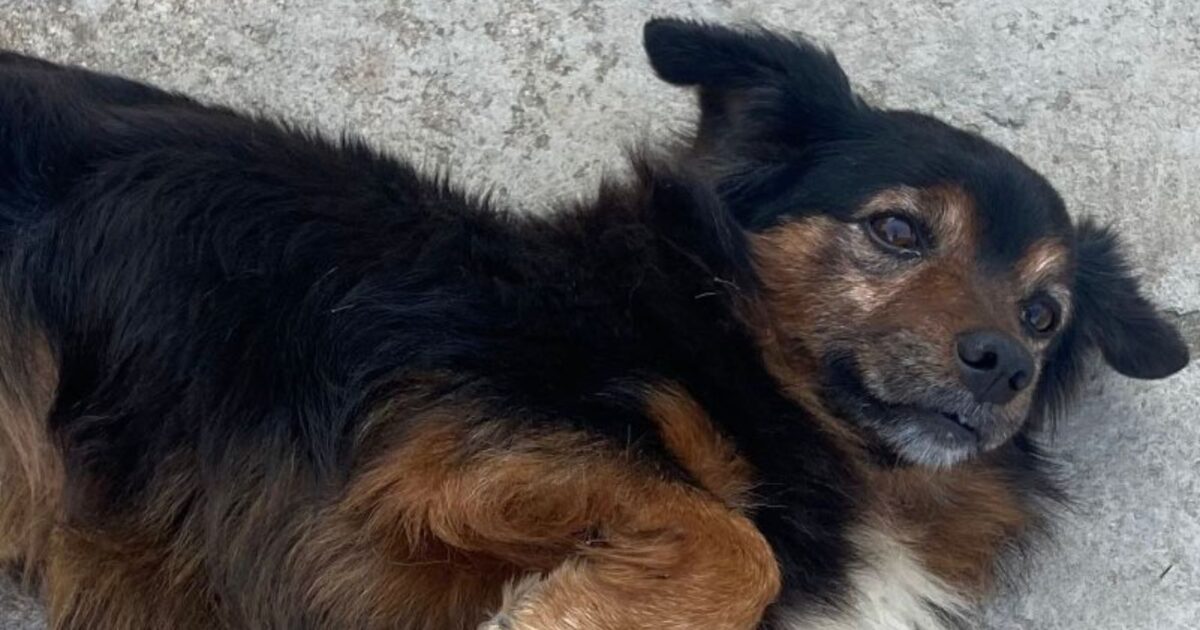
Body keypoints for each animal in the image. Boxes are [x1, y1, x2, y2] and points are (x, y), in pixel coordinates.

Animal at [0, 17, 1185, 624]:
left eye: (1044, 312)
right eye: (897, 230)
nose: (1002, 366)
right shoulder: (461, 431)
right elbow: (736, 541)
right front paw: (570, 612)